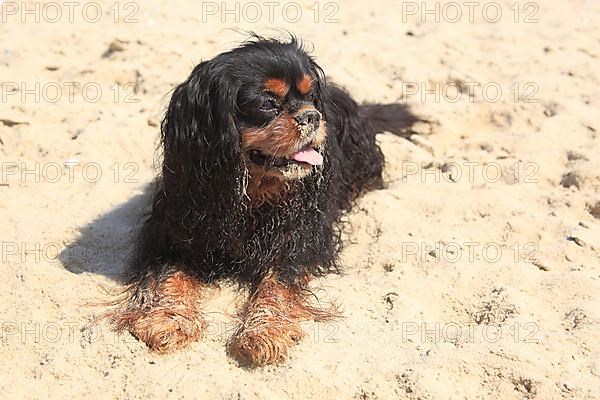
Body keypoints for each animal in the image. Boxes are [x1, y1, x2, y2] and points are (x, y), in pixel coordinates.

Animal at [109, 36, 418, 368]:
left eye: (311, 97)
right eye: (268, 103)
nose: (313, 116)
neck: (251, 193)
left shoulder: (299, 241)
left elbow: (277, 285)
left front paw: (265, 331)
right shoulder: (175, 230)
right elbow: (171, 276)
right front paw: (167, 319)